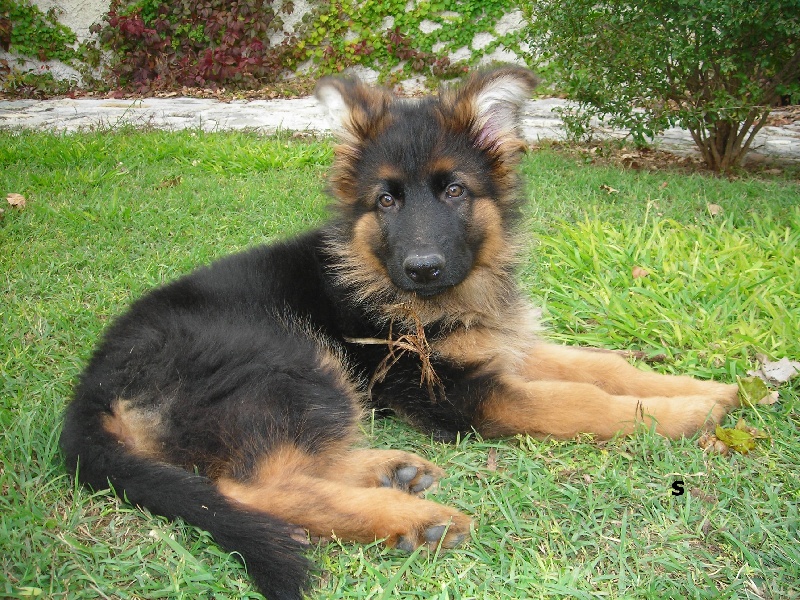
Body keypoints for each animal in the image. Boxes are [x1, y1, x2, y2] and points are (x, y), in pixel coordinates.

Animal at [61, 67, 736, 600]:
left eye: (455, 190)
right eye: (385, 201)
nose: (422, 268)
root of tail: (90, 390)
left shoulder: (499, 347)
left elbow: (602, 366)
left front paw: (710, 387)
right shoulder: (453, 391)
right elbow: (581, 402)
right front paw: (686, 414)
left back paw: (393, 470)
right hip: (290, 359)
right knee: (252, 487)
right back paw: (412, 517)